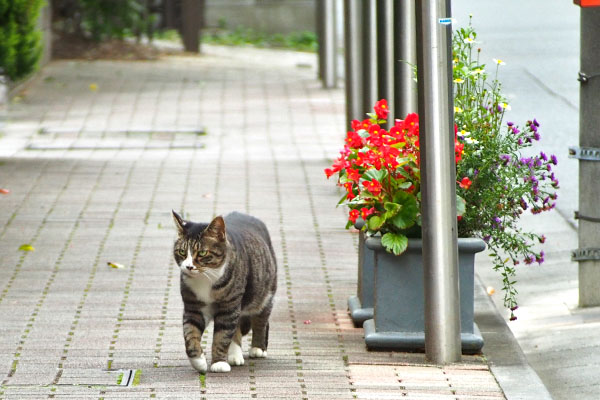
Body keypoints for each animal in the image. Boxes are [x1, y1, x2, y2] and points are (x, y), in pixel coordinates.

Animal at [172, 211, 278, 374]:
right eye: (182, 252)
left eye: (202, 252)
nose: (188, 267)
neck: (205, 278)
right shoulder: (193, 308)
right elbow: (190, 333)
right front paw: (198, 361)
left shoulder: (229, 306)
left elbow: (222, 336)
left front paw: (219, 363)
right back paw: (235, 354)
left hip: (264, 293)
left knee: (261, 319)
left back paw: (257, 348)